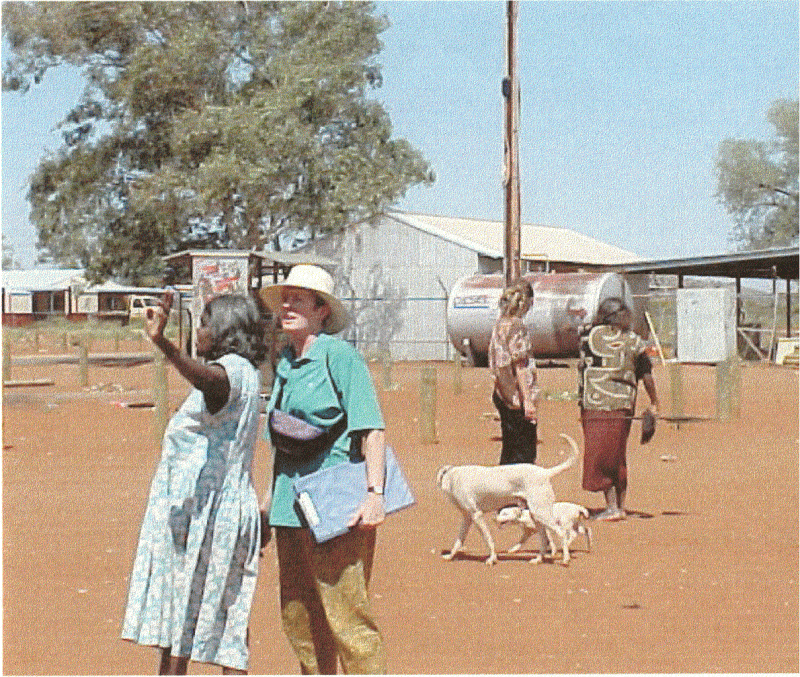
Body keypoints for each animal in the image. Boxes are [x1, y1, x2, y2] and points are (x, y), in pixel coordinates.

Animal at [434, 434, 580, 564]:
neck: (453, 476)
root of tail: (544, 472)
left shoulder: (477, 515)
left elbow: (488, 539)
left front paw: (492, 559)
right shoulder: (467, 518)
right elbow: (459, 541)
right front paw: (450, 556)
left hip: (541, 514)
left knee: (561, 533)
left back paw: (565, 559)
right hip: (537, 517)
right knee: (544, 539)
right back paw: (538, 559)